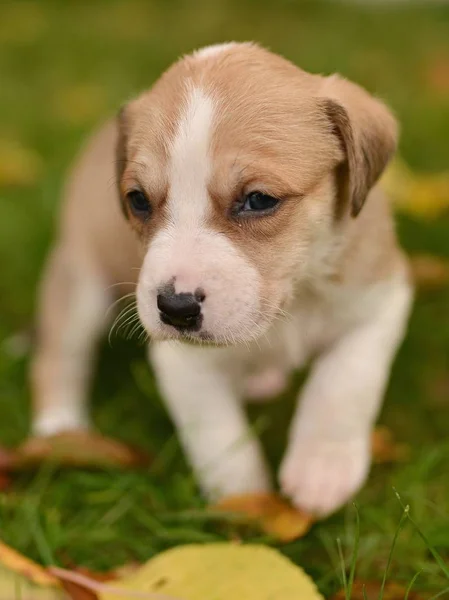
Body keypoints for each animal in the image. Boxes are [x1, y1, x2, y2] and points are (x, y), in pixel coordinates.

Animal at [31, 44, 412, 516]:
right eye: (138, 200)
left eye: (259, 200)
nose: (175, 308)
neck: (294, 298)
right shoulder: (183, 362)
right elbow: (217, 432)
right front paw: (245, 499)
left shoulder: (380, 303)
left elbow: (344, 384)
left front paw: (322, 470)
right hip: (79, 280)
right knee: (60, 357)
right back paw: (60, 432)